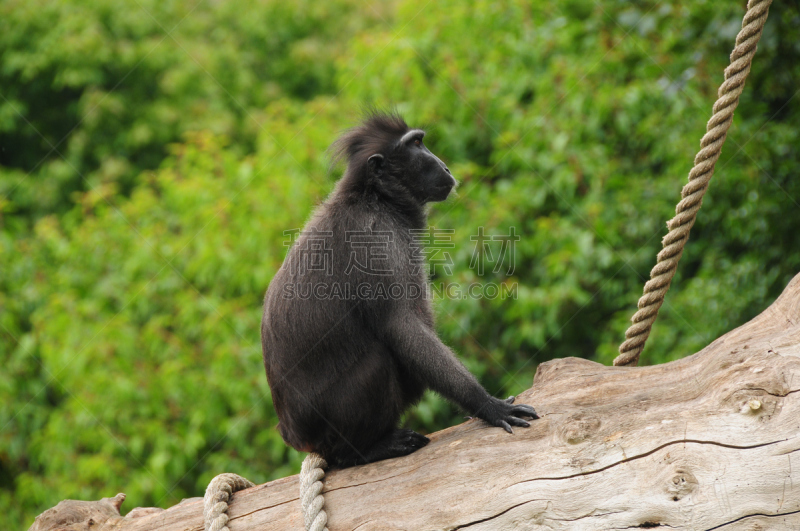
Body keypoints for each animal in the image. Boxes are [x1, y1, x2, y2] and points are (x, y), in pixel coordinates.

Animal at [260, 112, 536, 470]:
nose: (445, 167)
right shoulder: (376, 241)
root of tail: (293, 434)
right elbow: (401, 327)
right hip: (329, 431)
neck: (376, 198)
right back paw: (364, 450)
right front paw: (487, 405)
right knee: (379, 362)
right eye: (416, 145)